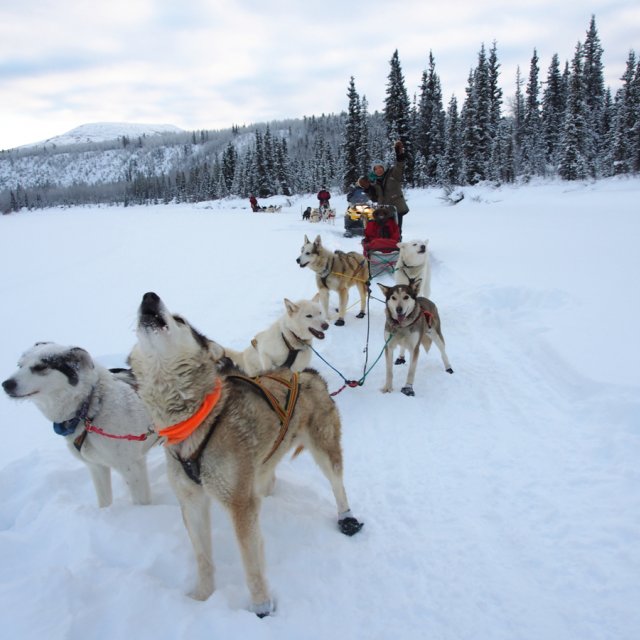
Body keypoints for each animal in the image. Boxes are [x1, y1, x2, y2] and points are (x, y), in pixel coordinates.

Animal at [2, 342, 158, 508]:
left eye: (40, 367)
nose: (6, 384)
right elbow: (104, 502)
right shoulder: (96, 467)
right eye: (19, 365)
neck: (90, 409)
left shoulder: (133, 468)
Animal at [127, 292, 362, 616]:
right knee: (268, 480)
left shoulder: (239, 504)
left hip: (325, 449)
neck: (196, 418)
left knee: (338, 484)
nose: (149, 296)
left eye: (179, 320)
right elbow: (203, 558)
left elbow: (251, 564)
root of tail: (308, 374)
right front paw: (201, 597)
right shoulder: (191, 502)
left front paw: (262, 607)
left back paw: (347, 518)